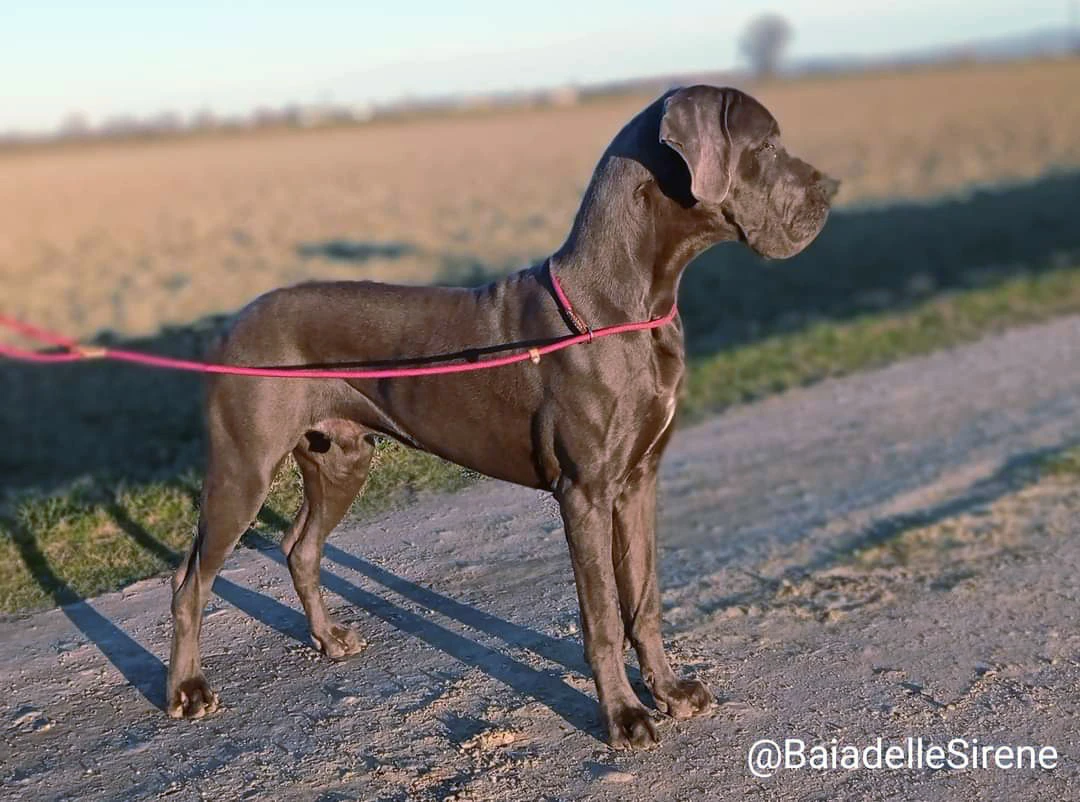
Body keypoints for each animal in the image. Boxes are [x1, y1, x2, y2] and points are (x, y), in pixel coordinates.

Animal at [168, 84, 838, 751]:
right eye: (766, 145)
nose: (831, 187)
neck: (631, 302)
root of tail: (231, 323)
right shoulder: (586, 492)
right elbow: (602, 615)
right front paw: (623, 715)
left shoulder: (638, 480)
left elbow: (643, 597)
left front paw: (670, 691)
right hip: (244, 470)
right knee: (191, 580)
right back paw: (187, 691)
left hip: (342, 458)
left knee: (299, 548)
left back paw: (329, 640)